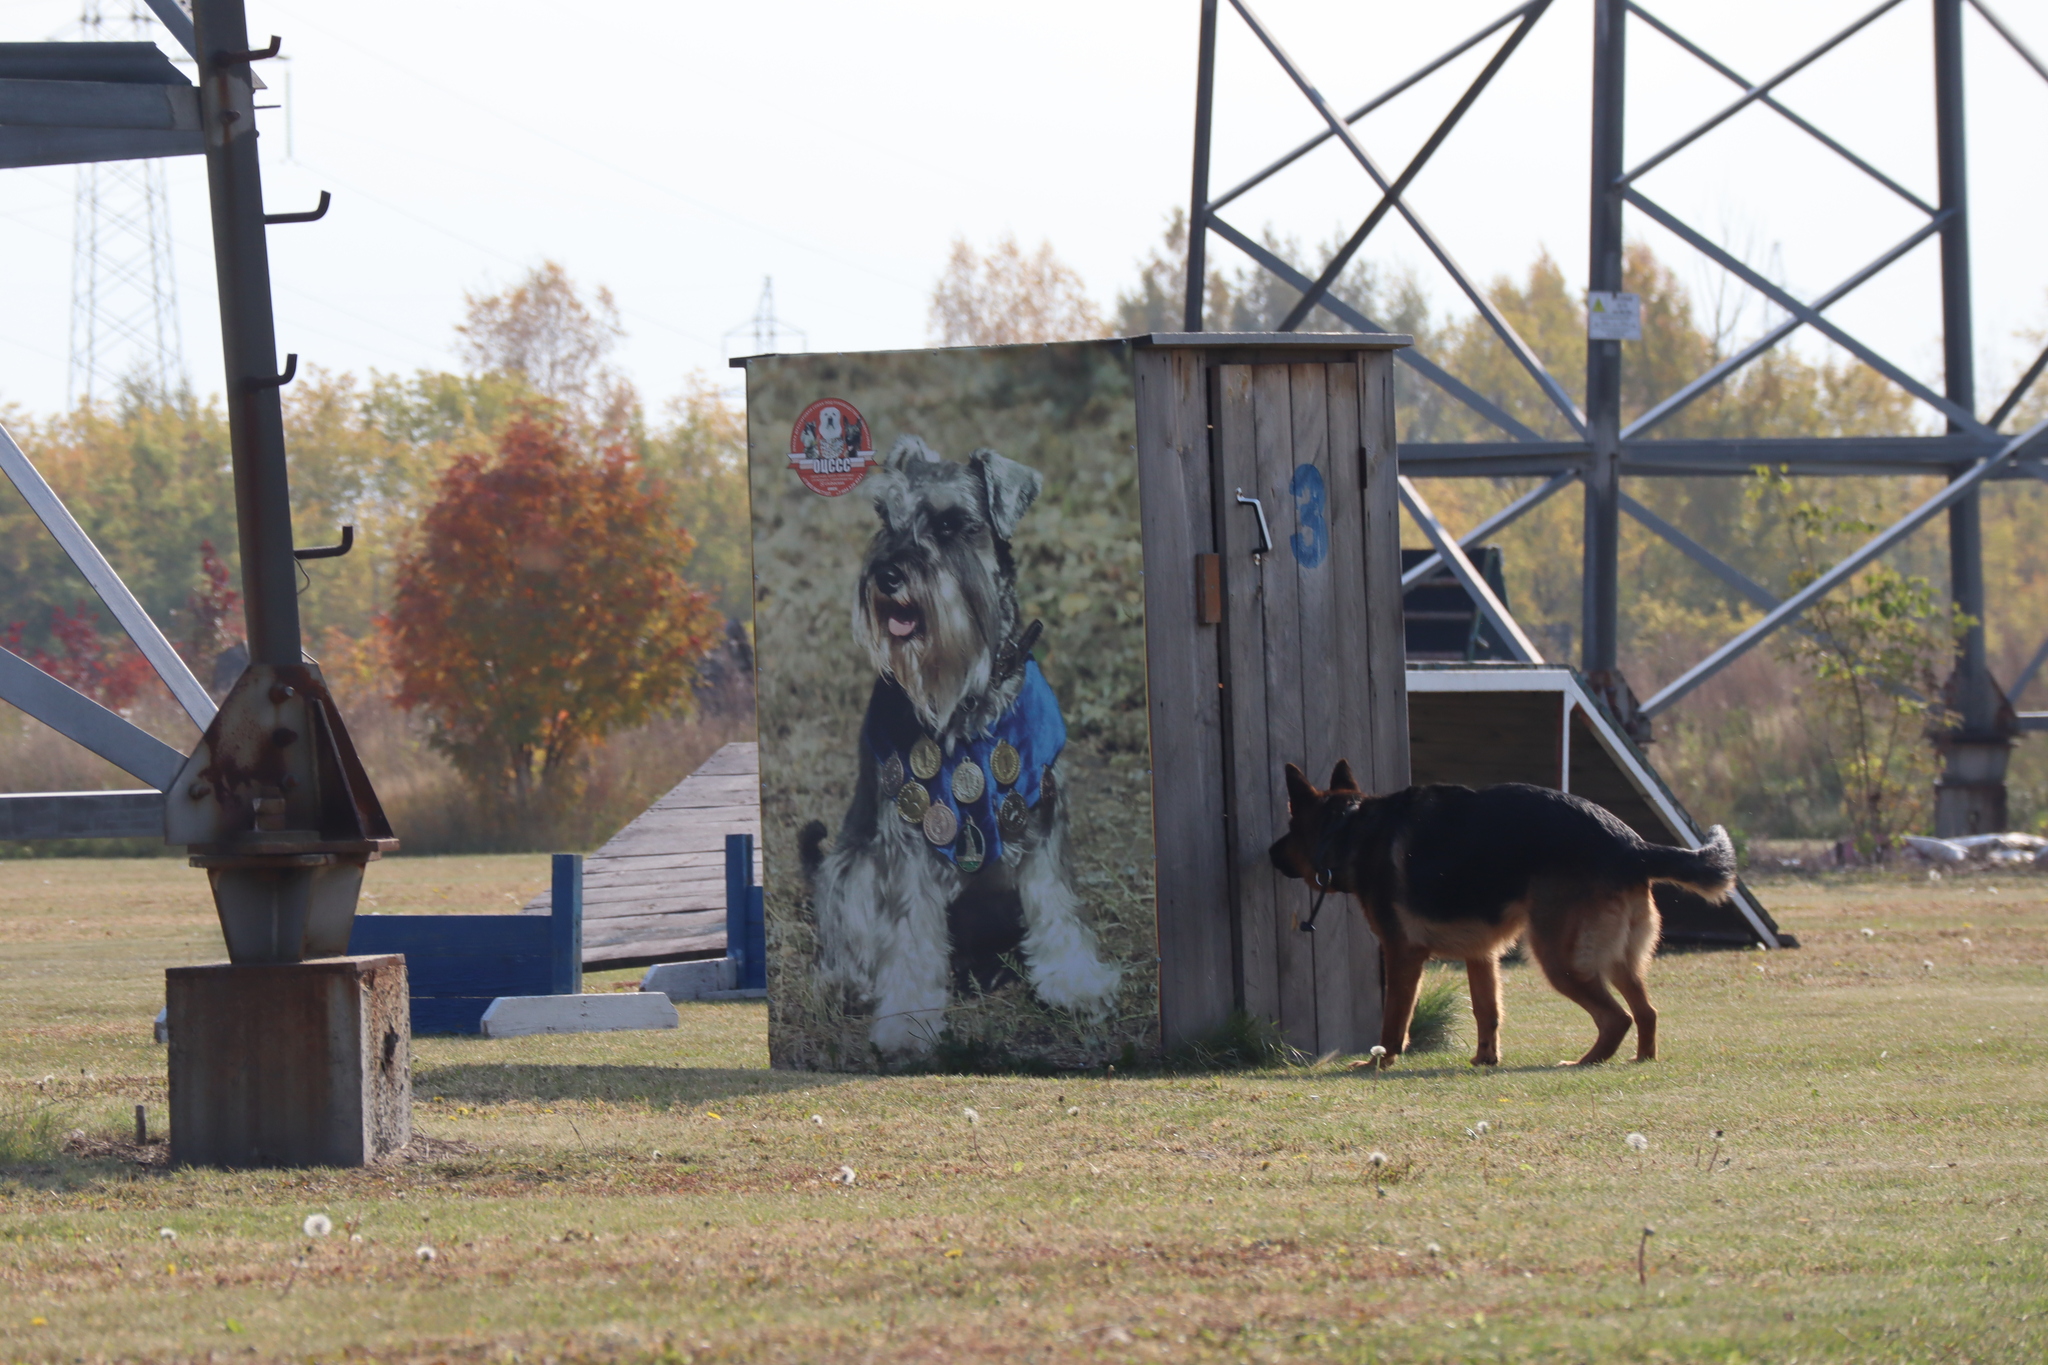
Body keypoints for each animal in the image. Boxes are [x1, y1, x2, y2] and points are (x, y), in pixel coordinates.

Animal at [1269, 757, 1736, 1064]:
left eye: (1289, 828)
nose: (1269, 853)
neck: (1349, 827)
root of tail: (1631, 845)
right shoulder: (1481, 955)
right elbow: (1486, 1011)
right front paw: (1484, 1060)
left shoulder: (1403, 954)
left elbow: (1394, 1021)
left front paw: (1377, 1064)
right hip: (1619, 959)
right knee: (1646, 1012)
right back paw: (1641, 1060)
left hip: (1560, 959)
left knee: (1616, 1017)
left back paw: (1586, 1062)